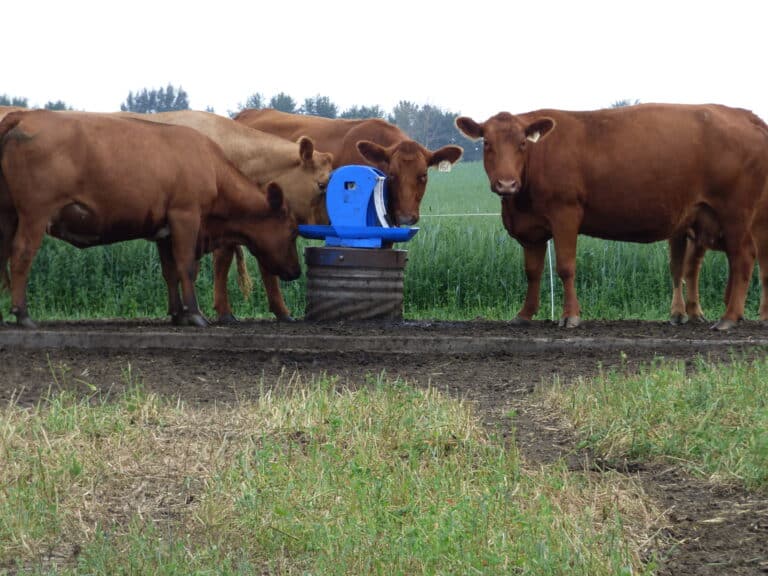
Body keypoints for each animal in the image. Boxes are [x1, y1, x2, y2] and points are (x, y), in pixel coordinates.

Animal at [0, 109, 300, 326]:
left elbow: (170, 272)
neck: (213, 170)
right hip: (34, 214)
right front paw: (195, 314)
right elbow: (186, 266)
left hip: (8, 215)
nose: (297, 272)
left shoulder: (163, 231)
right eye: (292, 231)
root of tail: (24, 115)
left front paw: (178, 314)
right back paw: (23, 315)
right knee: (21, 254)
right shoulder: (186, 216)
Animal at [456, 103, 768, 328]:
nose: (507, 184)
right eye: (487, 143)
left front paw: (570, 316)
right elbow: (532, 272)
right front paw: (524, 315)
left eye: (522, 143)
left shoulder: (565, 214)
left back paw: (729, 318)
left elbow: (566, 267)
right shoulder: (532, 230)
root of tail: (745, 115)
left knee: (744, 259)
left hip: (736, 215)